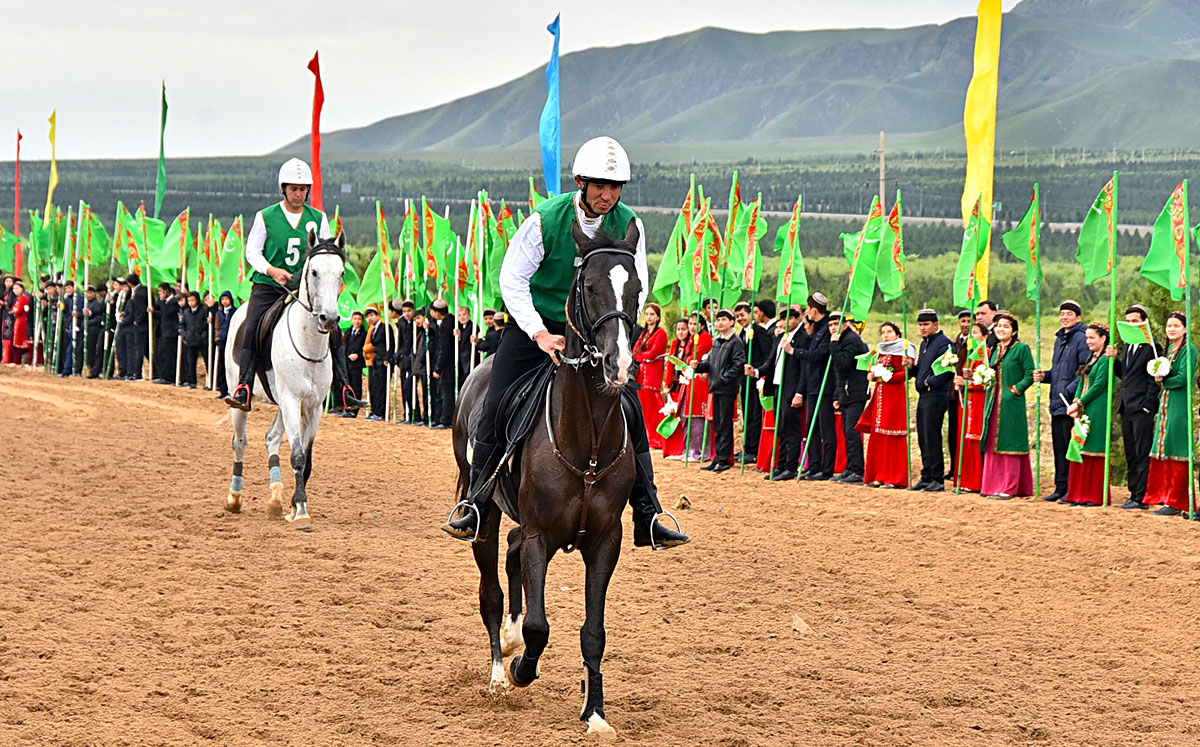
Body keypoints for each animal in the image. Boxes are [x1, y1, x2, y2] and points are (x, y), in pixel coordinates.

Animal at [224, 231, 348, 530]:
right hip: (243, 398)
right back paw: (234, 498)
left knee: (271, 438)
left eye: (341, 273)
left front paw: (293, 505)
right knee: (239, 441)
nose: (329, 318)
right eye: (314, 272)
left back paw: (275, 499)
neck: (309, 343)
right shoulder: (292, 400)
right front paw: (301, 510)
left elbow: (308, 458)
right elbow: (298, 455)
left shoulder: (313, 407)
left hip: (283, 403)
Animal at [451, 219, 643, 734]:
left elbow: (593, 632)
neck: (587, 442)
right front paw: (522, 669)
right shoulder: (540, 535)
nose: (618, 364)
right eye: (589, 286)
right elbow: (539, 625)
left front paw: (595, 712)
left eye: (637, 288)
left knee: (511, 555)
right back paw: (501, 672)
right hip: (484, 515)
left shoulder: (605, 541)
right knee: (492, 591)